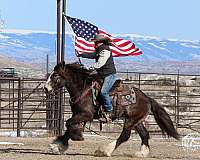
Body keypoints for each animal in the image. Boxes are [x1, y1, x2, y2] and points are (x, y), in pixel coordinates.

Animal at [43, 61, 180, 158]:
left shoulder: (86, 114)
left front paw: (77, 136)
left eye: (55, 75)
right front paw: (57, 146)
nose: (45, 88)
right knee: (145, 134)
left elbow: (68, 123)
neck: (83, 89)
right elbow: (69, 127)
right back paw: (141, 153)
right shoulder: (78, 114)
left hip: (130, 120)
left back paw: (105, 150)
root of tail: (147, 98)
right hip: (137, 121)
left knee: (125, 135)